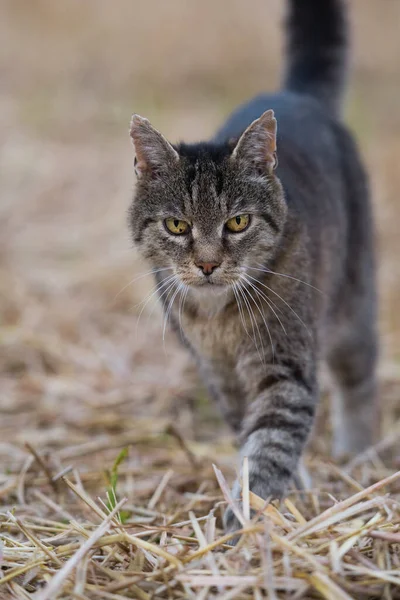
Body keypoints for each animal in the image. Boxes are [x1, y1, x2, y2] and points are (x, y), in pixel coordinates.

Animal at [127, 0, 378, 536]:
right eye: (177, 225)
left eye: (237, 222)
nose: (207, 263)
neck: (217, 315)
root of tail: (296, 94)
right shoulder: (220, 375)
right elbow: (250, 435)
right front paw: (283, 492)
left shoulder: (285, 365)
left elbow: (271, 443)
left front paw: (249, 514)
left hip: (354, 302)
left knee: (360, 376)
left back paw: (360, 455)